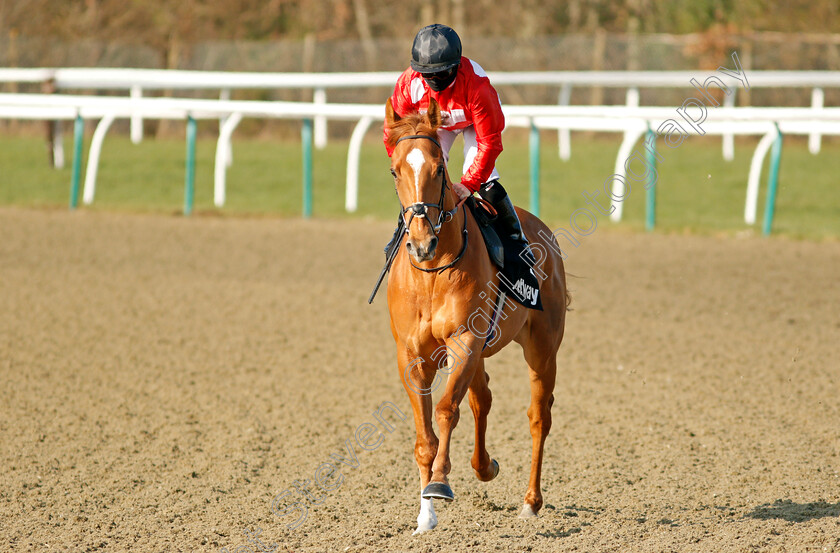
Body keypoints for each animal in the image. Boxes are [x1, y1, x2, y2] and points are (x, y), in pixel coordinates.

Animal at [384, 97, 568, 532]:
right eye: (395, 170)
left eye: (438, 169)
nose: (421, 243)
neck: (432, 274)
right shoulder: (412, 355)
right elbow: (425, 438)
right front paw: (425, 515)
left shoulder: (464, 341)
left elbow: (446, 409)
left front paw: (439, 482)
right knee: (482, 399)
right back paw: (485, 466)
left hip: (542, 348)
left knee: (539, 416)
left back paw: (531, 501)